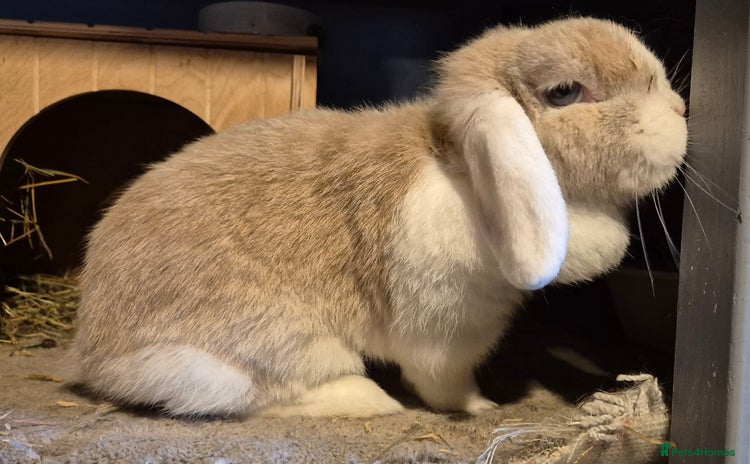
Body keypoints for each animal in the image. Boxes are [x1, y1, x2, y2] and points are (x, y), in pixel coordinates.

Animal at [70, 16, 687, 418]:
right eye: (564, 92)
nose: (683, 111)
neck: (462, 172)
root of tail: (94, 352)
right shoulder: (447, 328)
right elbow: (445, 381)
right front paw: (482, 407)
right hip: (269, 341)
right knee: (253, 393)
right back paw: (370, 400)